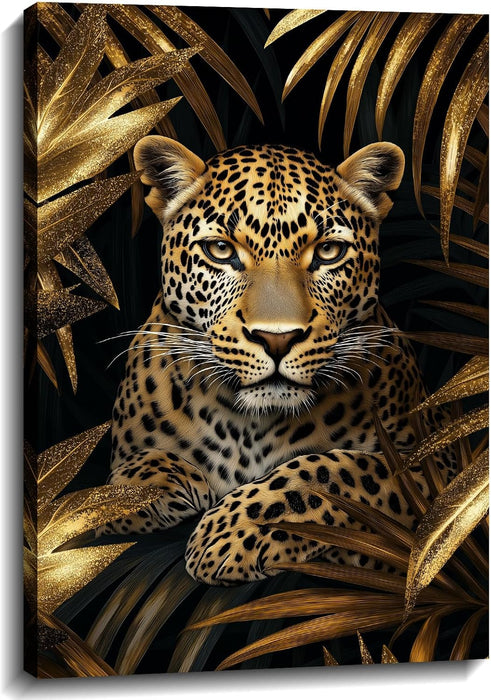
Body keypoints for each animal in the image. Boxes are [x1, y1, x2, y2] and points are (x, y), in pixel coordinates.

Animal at [103, 136, 454, 585]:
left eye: (328, 251)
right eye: (221, 250)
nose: (276, 338)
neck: (249, 425)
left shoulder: (438, 462)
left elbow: (334, 469)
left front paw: (230, 533)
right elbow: (123, 476)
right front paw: (139, 492)